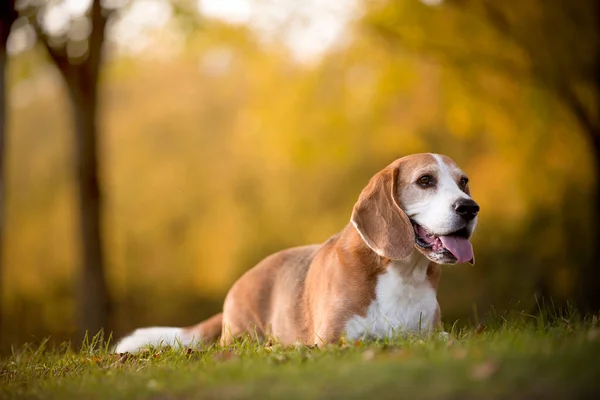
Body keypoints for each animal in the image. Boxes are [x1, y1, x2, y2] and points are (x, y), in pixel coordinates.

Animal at [116, 153, 478, 354]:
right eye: (425, 180)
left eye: (464, 182)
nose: (470, 207)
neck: (402, 273)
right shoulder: (334, 340)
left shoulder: (432, 333)